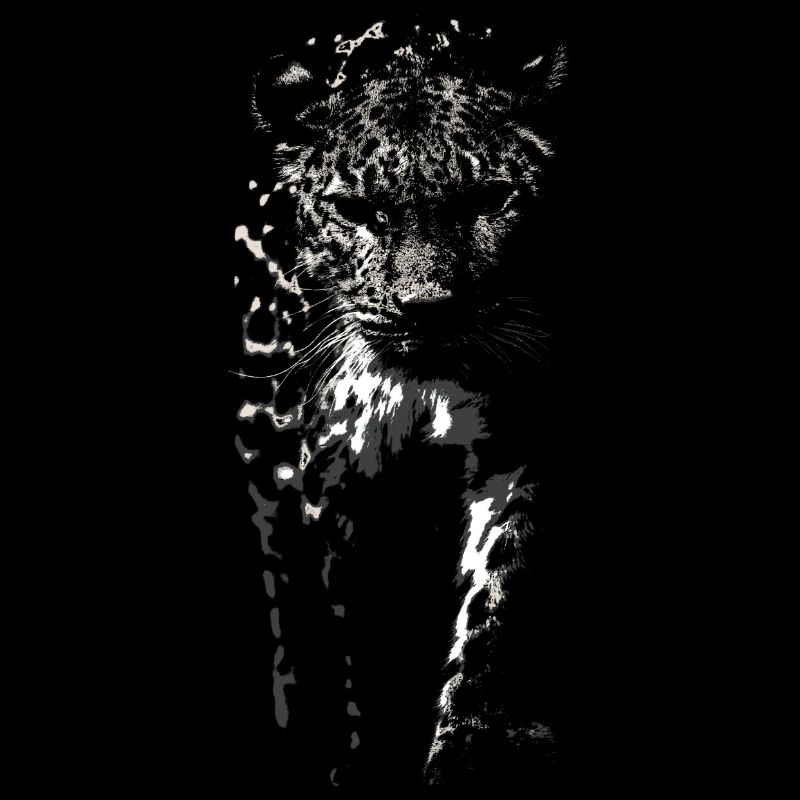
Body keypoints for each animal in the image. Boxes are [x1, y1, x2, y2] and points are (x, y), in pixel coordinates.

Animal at [232, 17, 570, 791]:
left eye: (490, 199)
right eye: (357, 210)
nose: (427, 309)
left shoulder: (517, 448)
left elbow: (496, 602)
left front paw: (472, 753)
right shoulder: (330, 475)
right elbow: (356, 624)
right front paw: (363, 757)